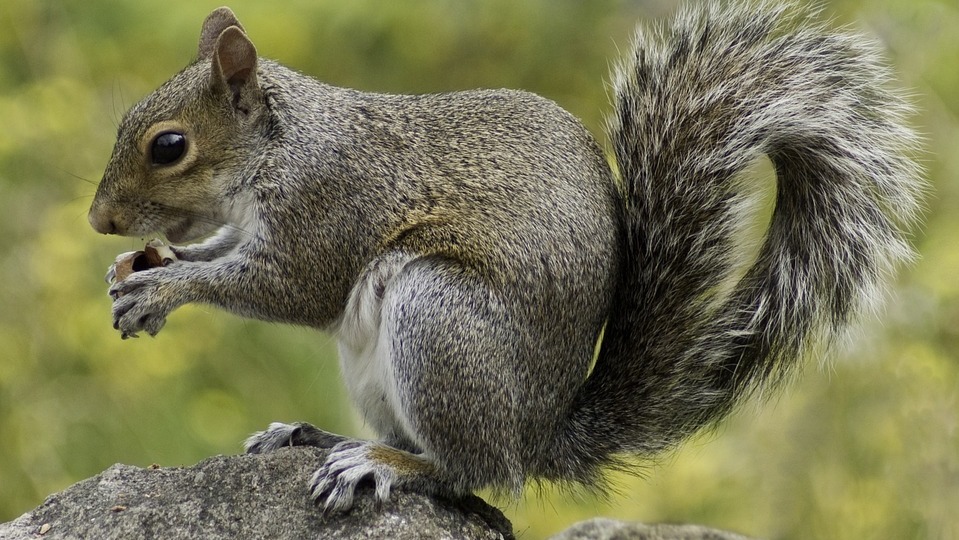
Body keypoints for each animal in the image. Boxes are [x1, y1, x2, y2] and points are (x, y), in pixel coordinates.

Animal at [88, 1, 924, 516]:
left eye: (169, 146)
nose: (100, 220)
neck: (280, 146)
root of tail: (539, 434)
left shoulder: (329, 208)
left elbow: (289, 286)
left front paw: (163, 288)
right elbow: (225, 249)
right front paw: (140, 267)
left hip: (439, 318)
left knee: (474, 472)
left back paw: (383, 465)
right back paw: (318, 437)